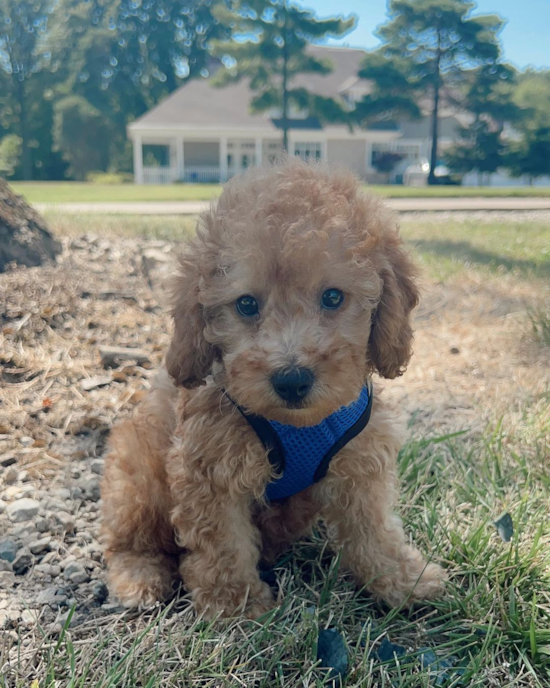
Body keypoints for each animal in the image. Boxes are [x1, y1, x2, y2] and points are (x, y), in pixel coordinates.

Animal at [100, 157, 448, 620]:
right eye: (246, 304)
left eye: (333, 297)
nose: (292, 379)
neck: (298, 425)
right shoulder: (208, 469)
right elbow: (223, 544)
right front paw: (236, 607)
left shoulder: (361, 459)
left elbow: (373, 527)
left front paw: (402, 580)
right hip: (136, 472)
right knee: (127, 537)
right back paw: (138, 577)